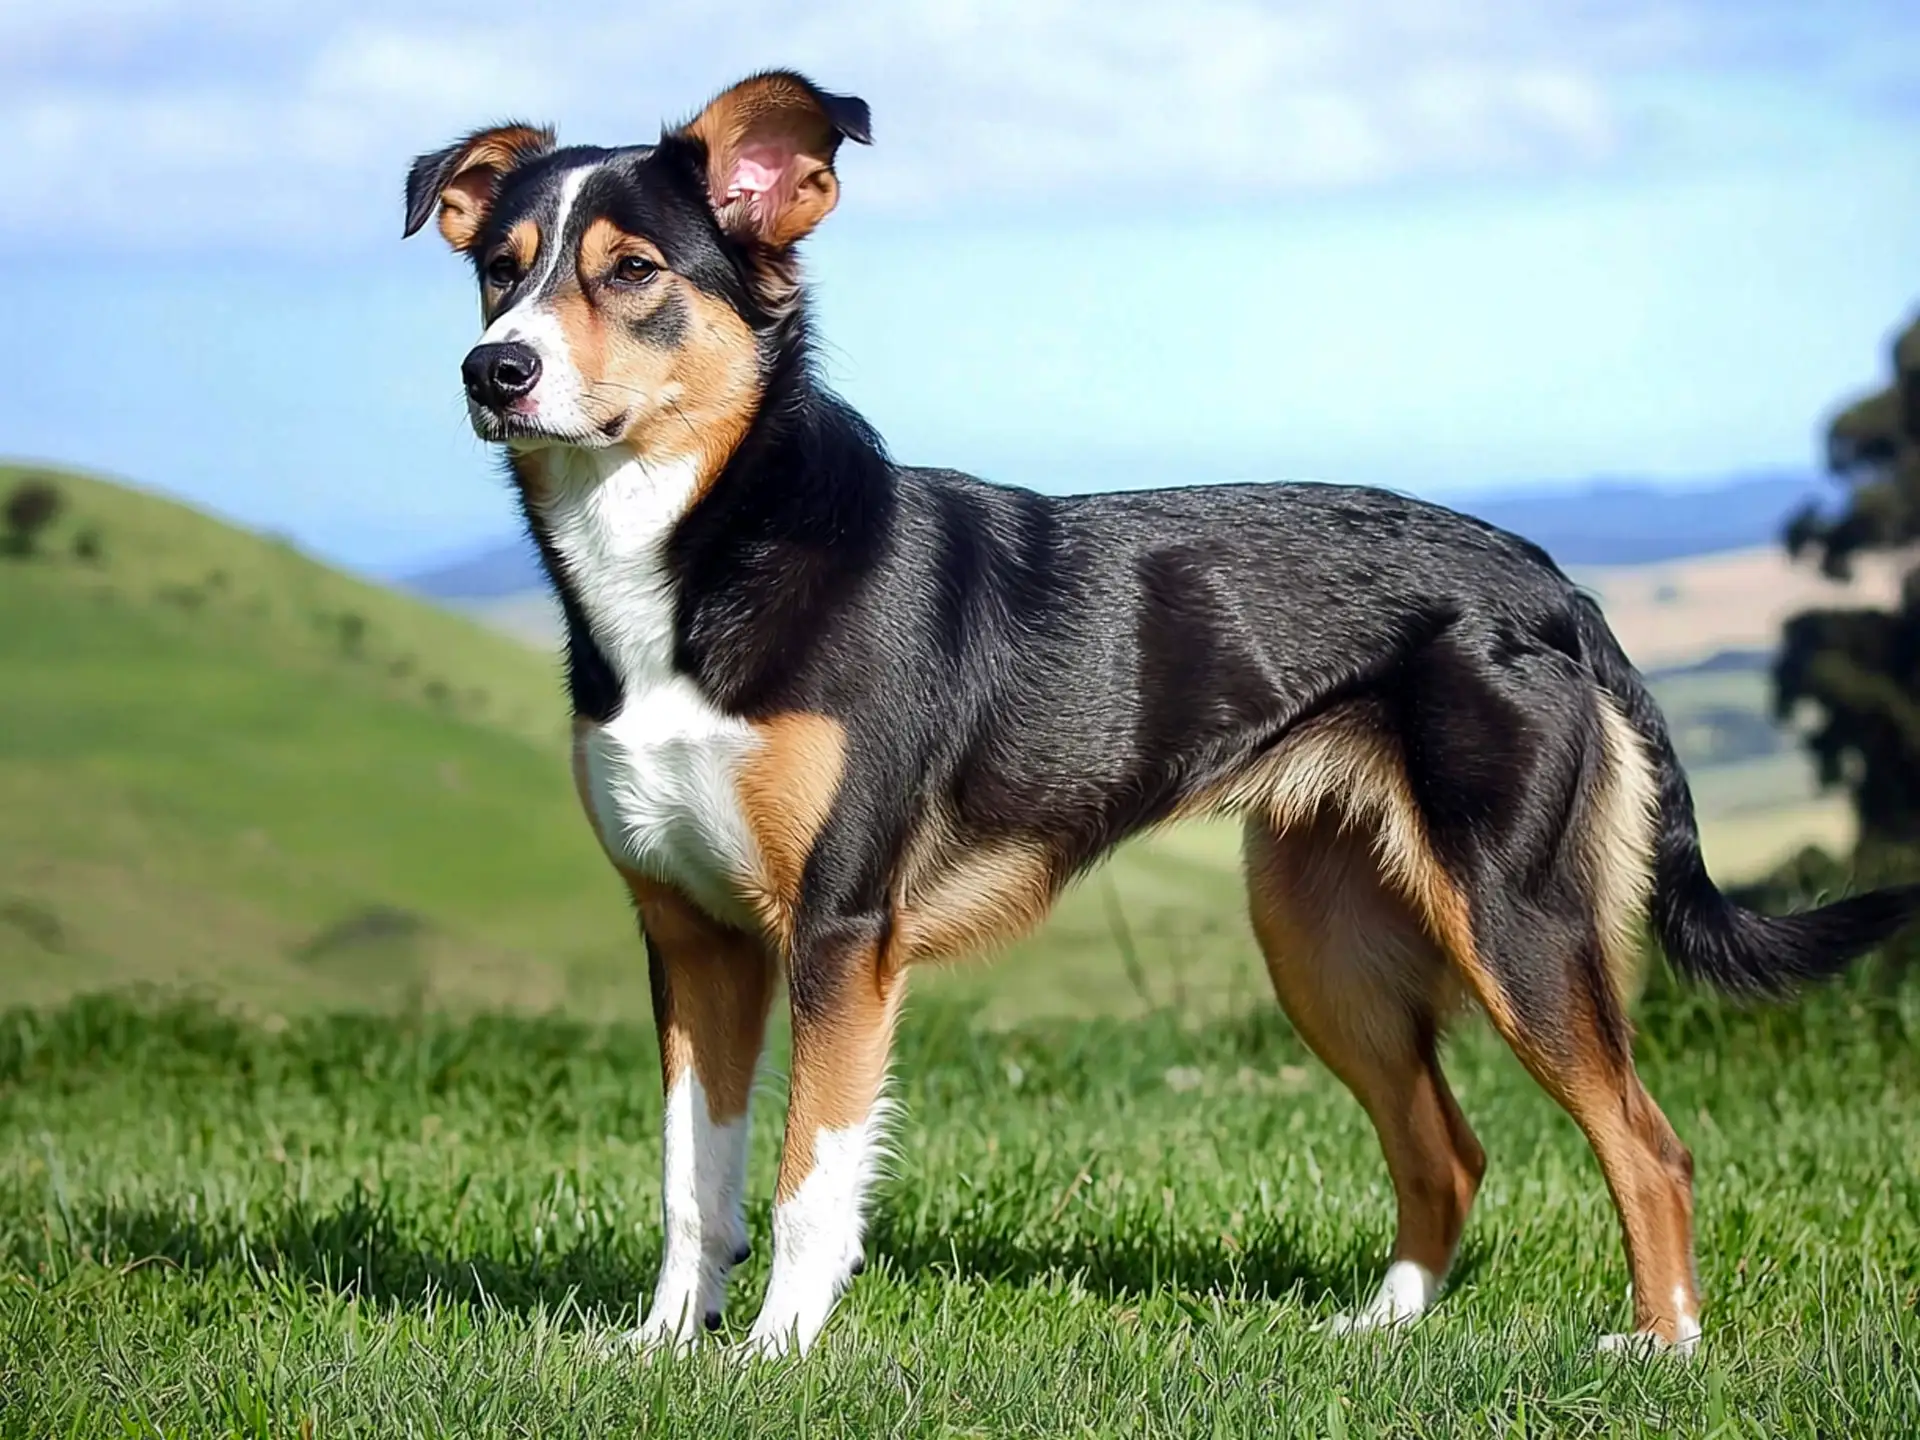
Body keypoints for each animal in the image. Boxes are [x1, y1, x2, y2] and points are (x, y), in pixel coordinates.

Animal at [405, 73, 1920, 1359]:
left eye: (634, 272)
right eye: (499, 268)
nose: (492, 371)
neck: (703, 546)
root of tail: (1553, 586)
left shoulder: (838, 930)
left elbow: (804, 1176)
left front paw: (775, 1352)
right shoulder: (691, 936)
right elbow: (692, 1180)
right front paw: (665, 1348)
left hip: (1515, 917)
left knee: (1648, 1146)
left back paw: (1662, 1347)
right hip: (1323, 940)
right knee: (1447, 1149)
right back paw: (1381, 1331)